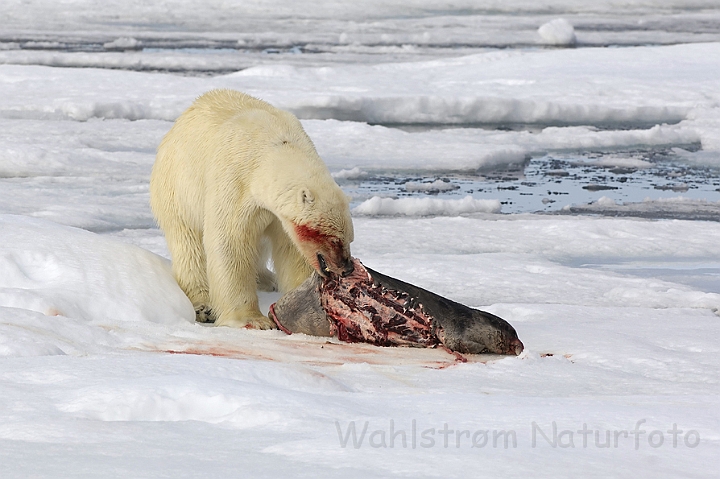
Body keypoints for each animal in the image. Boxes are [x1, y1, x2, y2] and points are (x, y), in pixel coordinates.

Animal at [151, 89, 354, 330]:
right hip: (177, 187)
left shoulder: (279, 216)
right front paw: (253, 320)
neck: (276, 146)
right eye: (333, 238)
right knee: (188, 246)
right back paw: (203, 306)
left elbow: (291, 249)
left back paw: (267, 279)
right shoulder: (236, 179)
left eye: (349, 238)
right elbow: (230, 241)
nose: (347, 267)